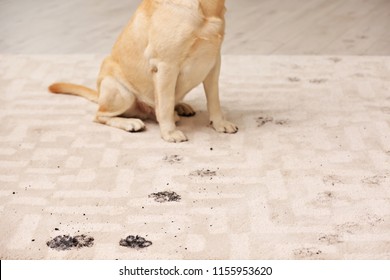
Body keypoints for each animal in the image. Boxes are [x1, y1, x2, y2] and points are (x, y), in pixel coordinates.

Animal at [48, 0, 238, 142]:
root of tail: (99, 93)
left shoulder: (213, 62)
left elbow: (214, 101)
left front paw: (220, 124)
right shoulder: (166, 65)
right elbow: (165, 106)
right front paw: (169, 133)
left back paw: (182, 107)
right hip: (121, 92)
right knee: (100, 115)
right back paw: (130, 123)